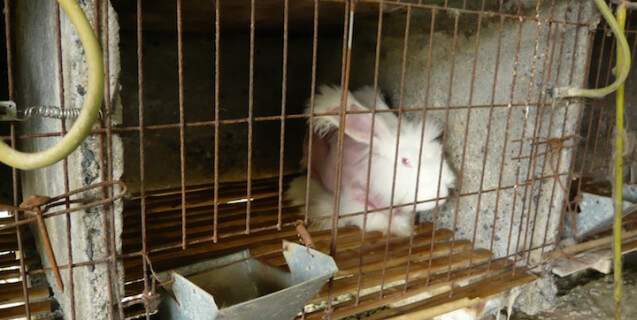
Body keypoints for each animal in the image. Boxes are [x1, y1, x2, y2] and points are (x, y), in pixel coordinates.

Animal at [286, 85, 454, 238]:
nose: (441, 194)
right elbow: (373, 219)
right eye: (405, 160)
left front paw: (404, 230)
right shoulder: (353, 201)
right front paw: (390, 229)